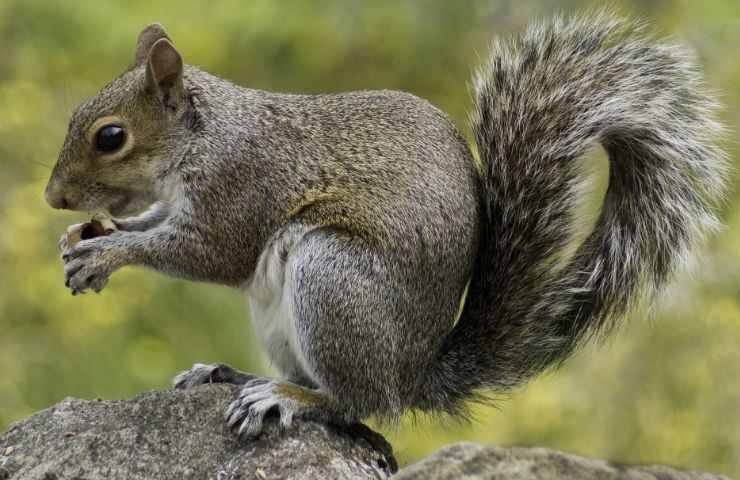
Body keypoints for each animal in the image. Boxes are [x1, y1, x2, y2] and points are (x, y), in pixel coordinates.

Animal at [46, 13, 728, 436]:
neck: (203, 137)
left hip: (333, 279)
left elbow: (209, 253)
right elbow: (157, 221)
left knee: (355, 404)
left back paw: (287, 398)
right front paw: (88, 236)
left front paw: (106, 253)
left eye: (111, 137)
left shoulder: (242, 187)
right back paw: (234, 374)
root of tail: (411, 374)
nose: (54, 198)